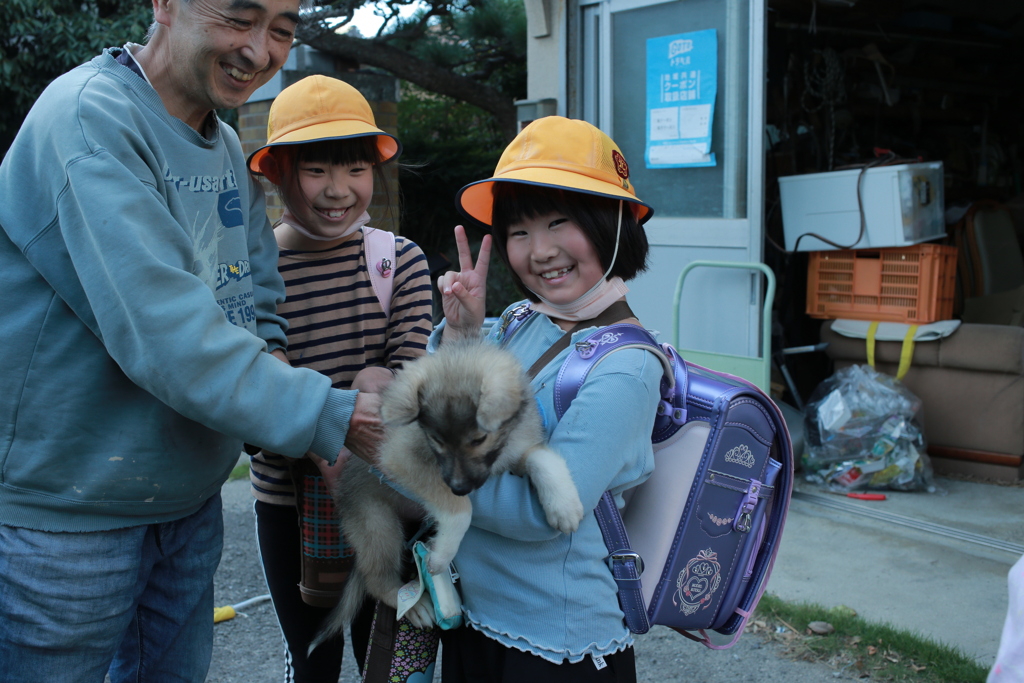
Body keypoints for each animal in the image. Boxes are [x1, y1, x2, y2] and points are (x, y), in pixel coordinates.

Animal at [311, 342, 585, 647]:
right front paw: (442, 554)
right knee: (377, 580)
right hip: (377, 525)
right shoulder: (400, 459)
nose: (459, 488)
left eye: (479, 439)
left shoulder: (515, 452)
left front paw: (564, 504)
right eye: (436, 440)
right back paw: (409, 602)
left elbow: (542, 458)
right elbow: (461, 511)